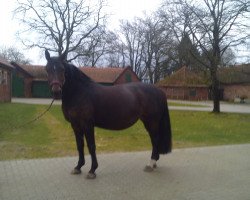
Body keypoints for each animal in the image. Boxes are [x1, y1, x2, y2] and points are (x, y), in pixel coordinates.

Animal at [45, 50, 171, 180]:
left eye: (62, 69)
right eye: (47, 69)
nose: (56, 91)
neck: (79, 93)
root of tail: (159, 91)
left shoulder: (87, 125)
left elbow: (91, 146)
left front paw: (92, 170)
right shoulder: (75, 125)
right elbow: (80, 145)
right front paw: (78, 167)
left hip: (152, 121)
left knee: (155, 139)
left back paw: (151, 164)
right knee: (154, 140)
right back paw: (154, 163)